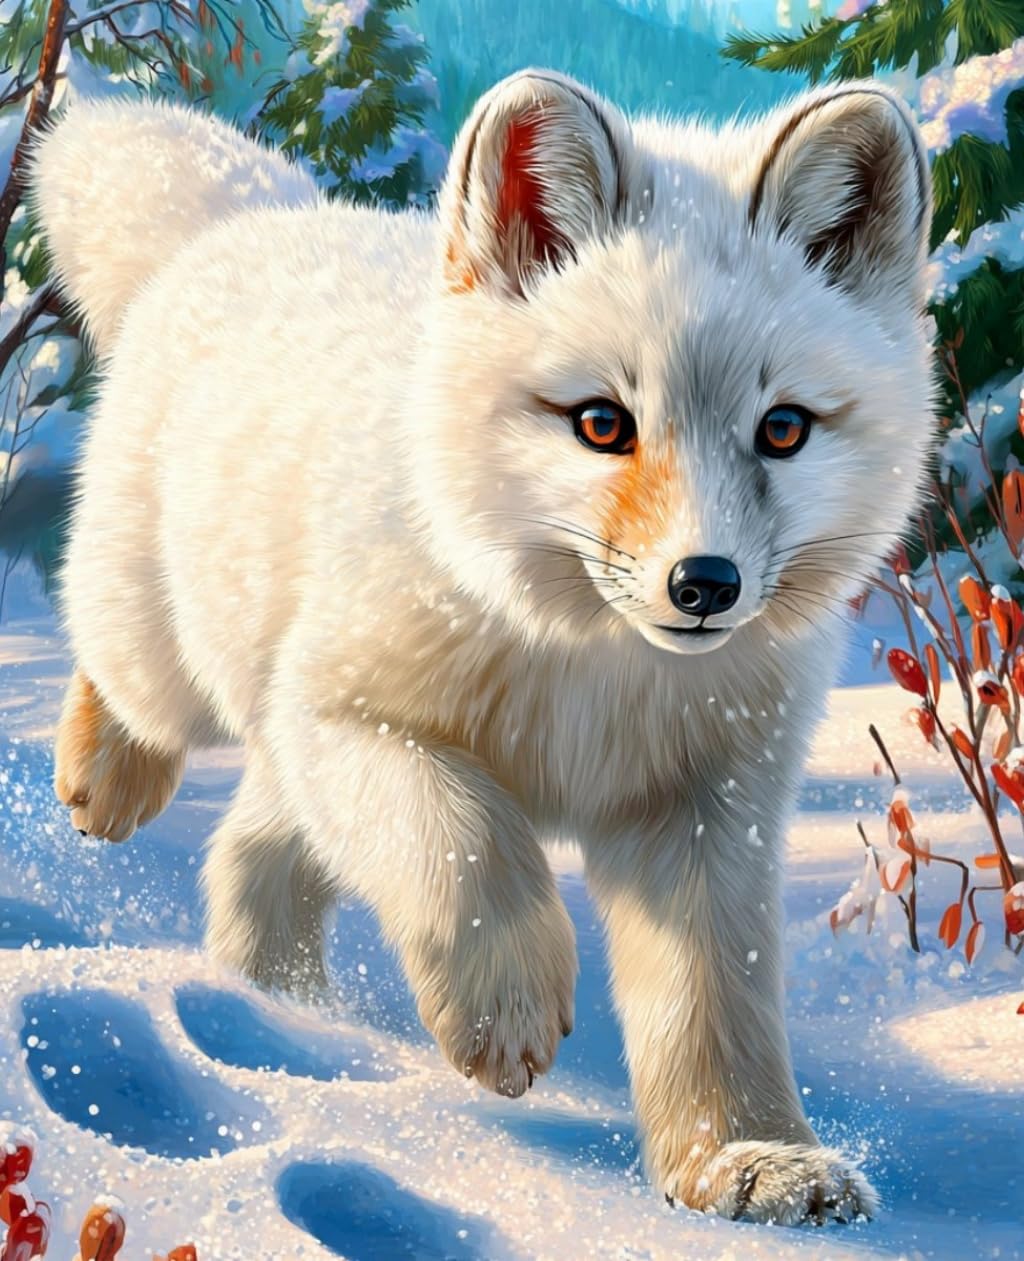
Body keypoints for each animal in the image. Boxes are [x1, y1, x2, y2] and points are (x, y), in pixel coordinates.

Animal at [32, 69, 934, 1224]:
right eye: (601, 422)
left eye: (783, 429)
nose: (704, 584)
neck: (592, 673)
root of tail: (260, 216)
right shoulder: (344, 712)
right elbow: (463, 841)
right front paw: (504, 1014)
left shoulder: (704, 813)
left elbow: (713, 1005)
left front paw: (748, 1161)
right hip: (176, 657)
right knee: (128, 677)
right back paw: (108, 780)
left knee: (250, 859)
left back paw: (284, 1011)